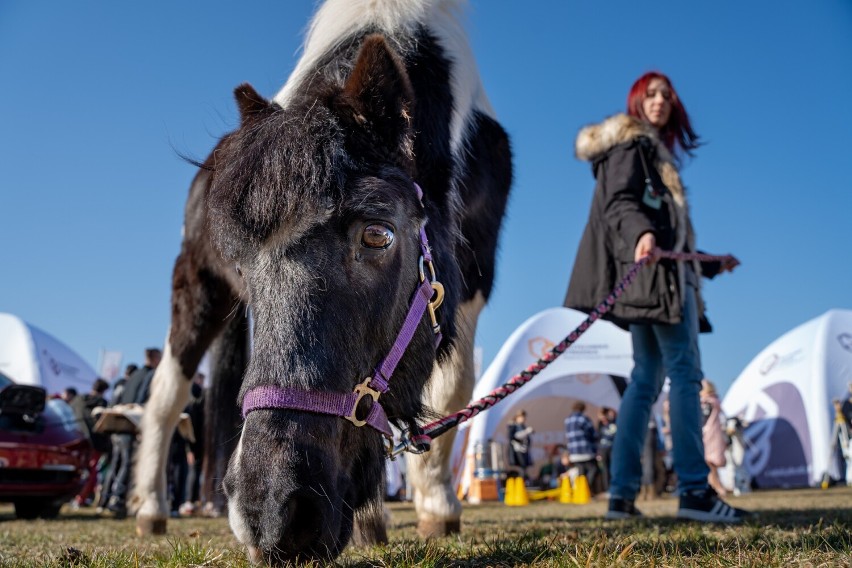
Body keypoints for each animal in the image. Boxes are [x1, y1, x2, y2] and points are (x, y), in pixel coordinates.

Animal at [130, 0, 510, 560]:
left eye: (378, 234)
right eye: (240, 263)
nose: (273, 513)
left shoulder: (474, 272)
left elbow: (451, 386)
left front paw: (420, 507)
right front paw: (435, 505)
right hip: (196, 287)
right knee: (165, 395)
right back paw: (151, 509)